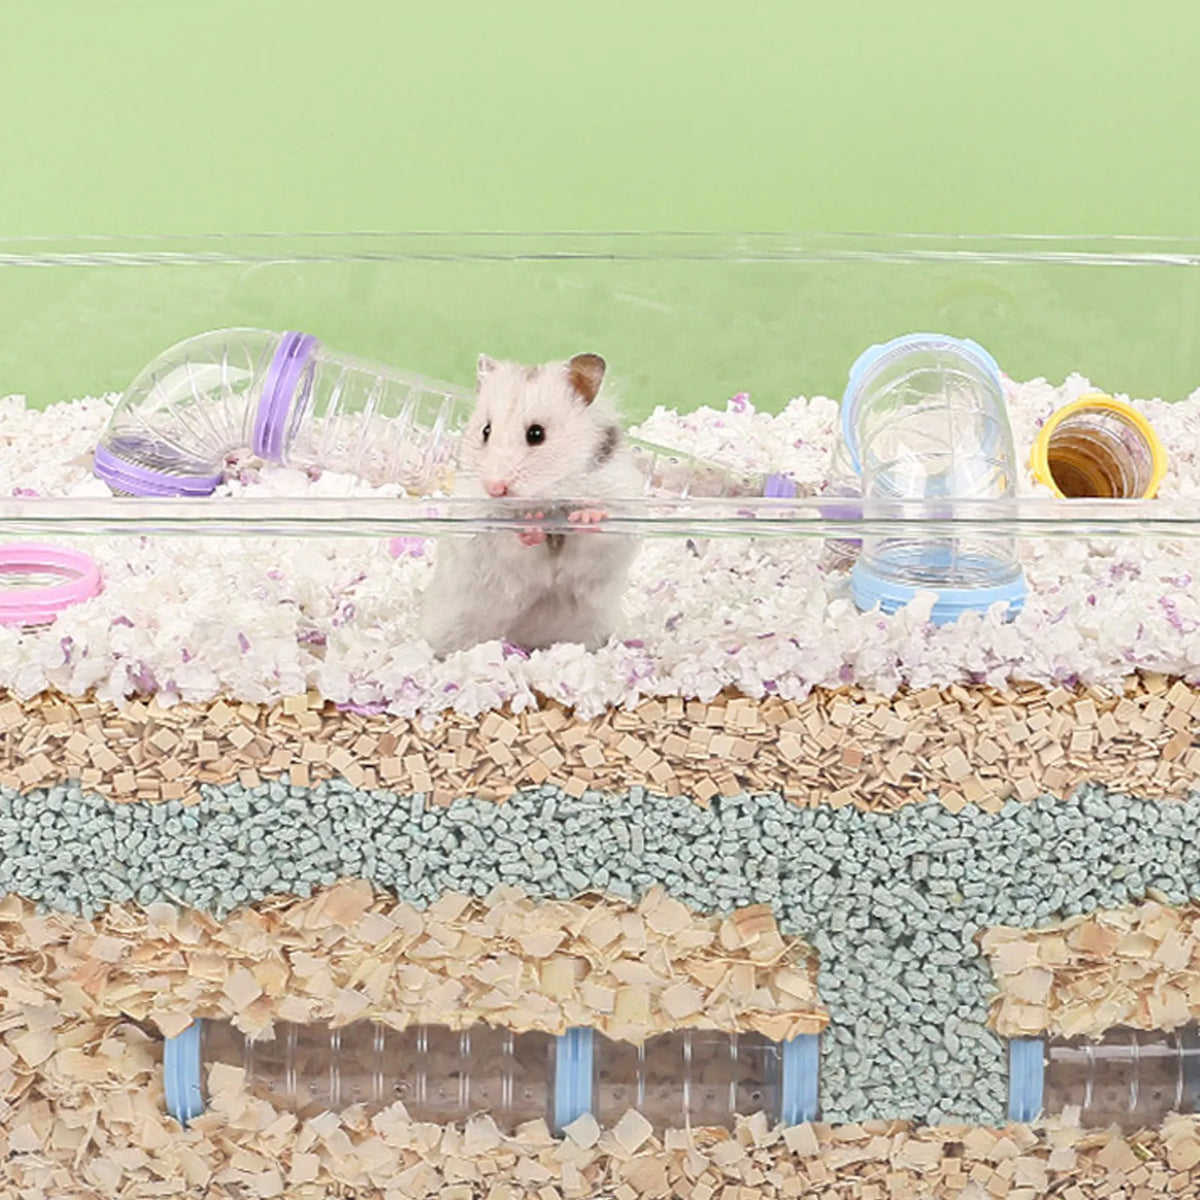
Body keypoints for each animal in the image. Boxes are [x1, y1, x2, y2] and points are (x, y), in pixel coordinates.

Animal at [420, 352, 643, 656]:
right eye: (486, 430)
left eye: (536, 434)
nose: (494, 488)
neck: (549, 501)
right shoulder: (487, 535)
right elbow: (513, 546)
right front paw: (531, 526)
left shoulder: (621, 512)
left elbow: (597, 535)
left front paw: (586, 516)